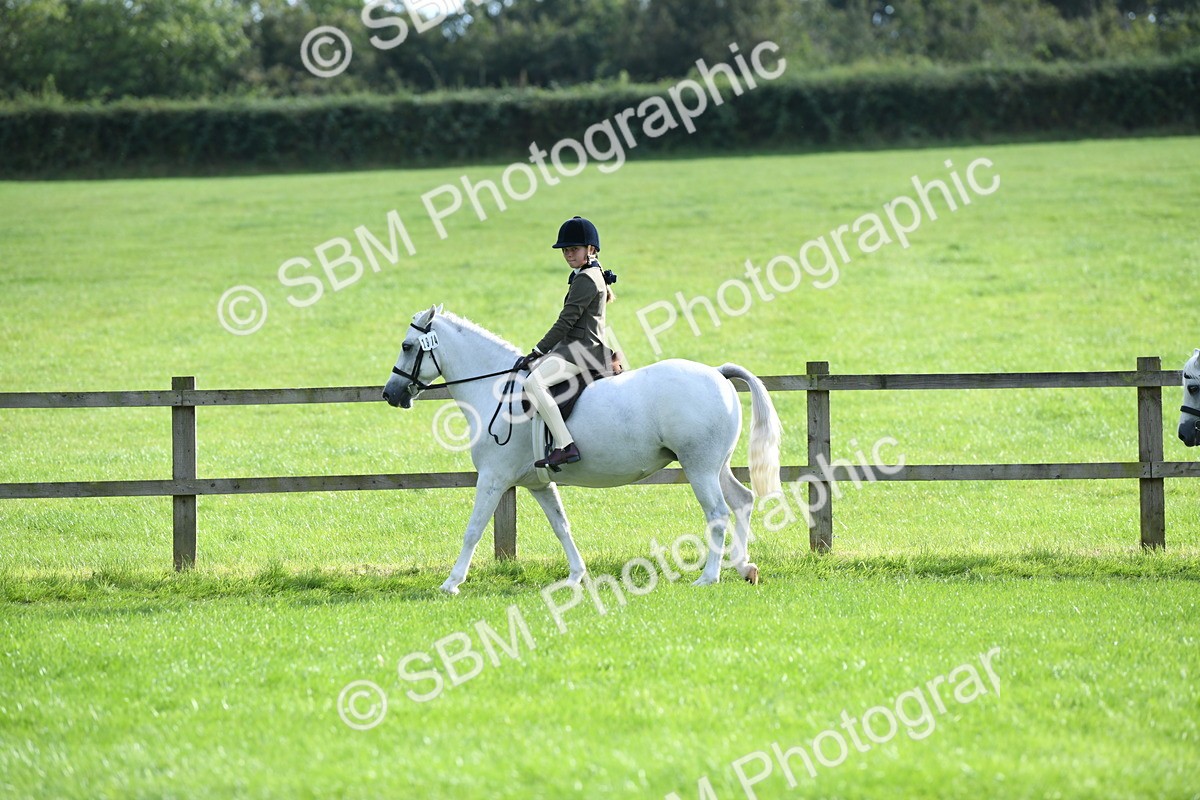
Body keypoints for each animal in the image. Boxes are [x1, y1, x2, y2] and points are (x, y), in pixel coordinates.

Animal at [382, 305, 783, 595]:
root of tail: (717, 372)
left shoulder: (493, 479)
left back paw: (709, 577)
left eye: (406, 346)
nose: (390, 394)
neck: (496, 391)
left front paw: (451, 582)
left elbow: (474, 529)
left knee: (717, 513)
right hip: (717, 465)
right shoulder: (538, 483)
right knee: (742, 501)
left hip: (699, 467)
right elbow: (561, 526)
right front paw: (576, 576)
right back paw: (744, 566)